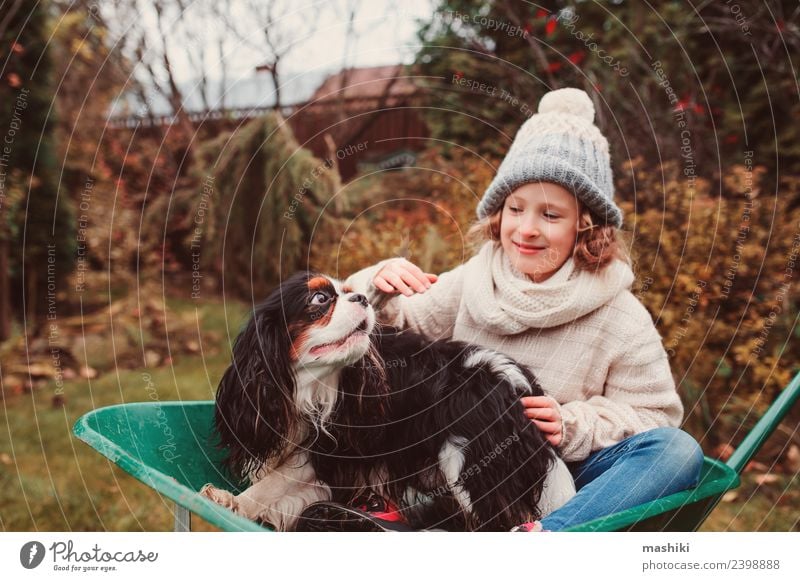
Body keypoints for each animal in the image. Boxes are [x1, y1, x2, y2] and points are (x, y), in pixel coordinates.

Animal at [202, 272, 576, 532]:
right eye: (320, 298)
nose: (363, 298)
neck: (308, 386)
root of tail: (519, 383)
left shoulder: (333, 447)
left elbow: (276, 483)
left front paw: (233, 503)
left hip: (466, 457)